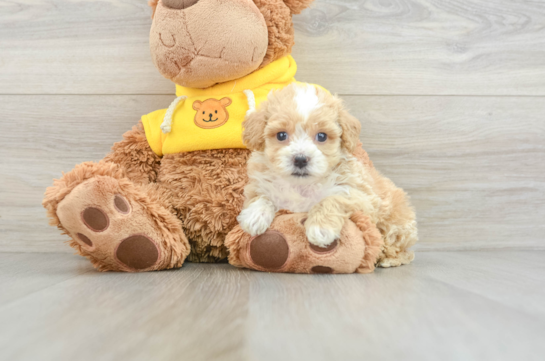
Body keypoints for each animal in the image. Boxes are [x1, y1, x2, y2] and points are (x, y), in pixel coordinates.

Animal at [237, 83, 416, 266]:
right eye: (281, 135)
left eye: (322, 136)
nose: (300, 159)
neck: (301, 186)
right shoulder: (260, 185)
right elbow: (261, 196)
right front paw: (255, 216)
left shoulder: (363, 198)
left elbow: (332, 198)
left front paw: (320, 228)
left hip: (396, 227)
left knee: (401, 250)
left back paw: (388, 259)